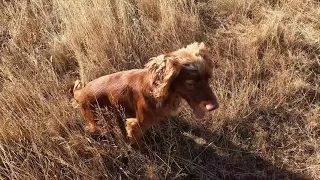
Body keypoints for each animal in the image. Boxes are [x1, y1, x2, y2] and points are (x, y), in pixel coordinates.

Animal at [71, 42, 219, 148]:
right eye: (190, 84)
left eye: (208, 78)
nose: (214, 107)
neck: (156, 90)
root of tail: (80, 93)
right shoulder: (136, 123)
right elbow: (136, 138)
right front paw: (141, 148)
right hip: (94, 116)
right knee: (93, 127)